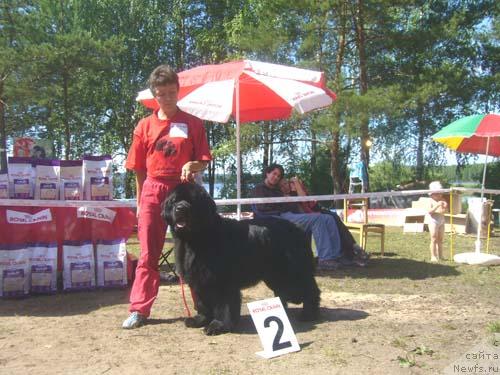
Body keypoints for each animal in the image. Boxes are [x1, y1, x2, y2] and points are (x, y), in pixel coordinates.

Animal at [162, 182, 322, 334]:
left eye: (192, 201)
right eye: (175, 201)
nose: (181, 208)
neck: (196, 239)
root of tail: (297, 228)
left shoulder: (222, 280)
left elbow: (223, 305)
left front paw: (218, 325)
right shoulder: (199, 279)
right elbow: (202, 302)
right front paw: (200, 319)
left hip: (292, 271)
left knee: (310, 290)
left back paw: (308, 314)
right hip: (274, 274)